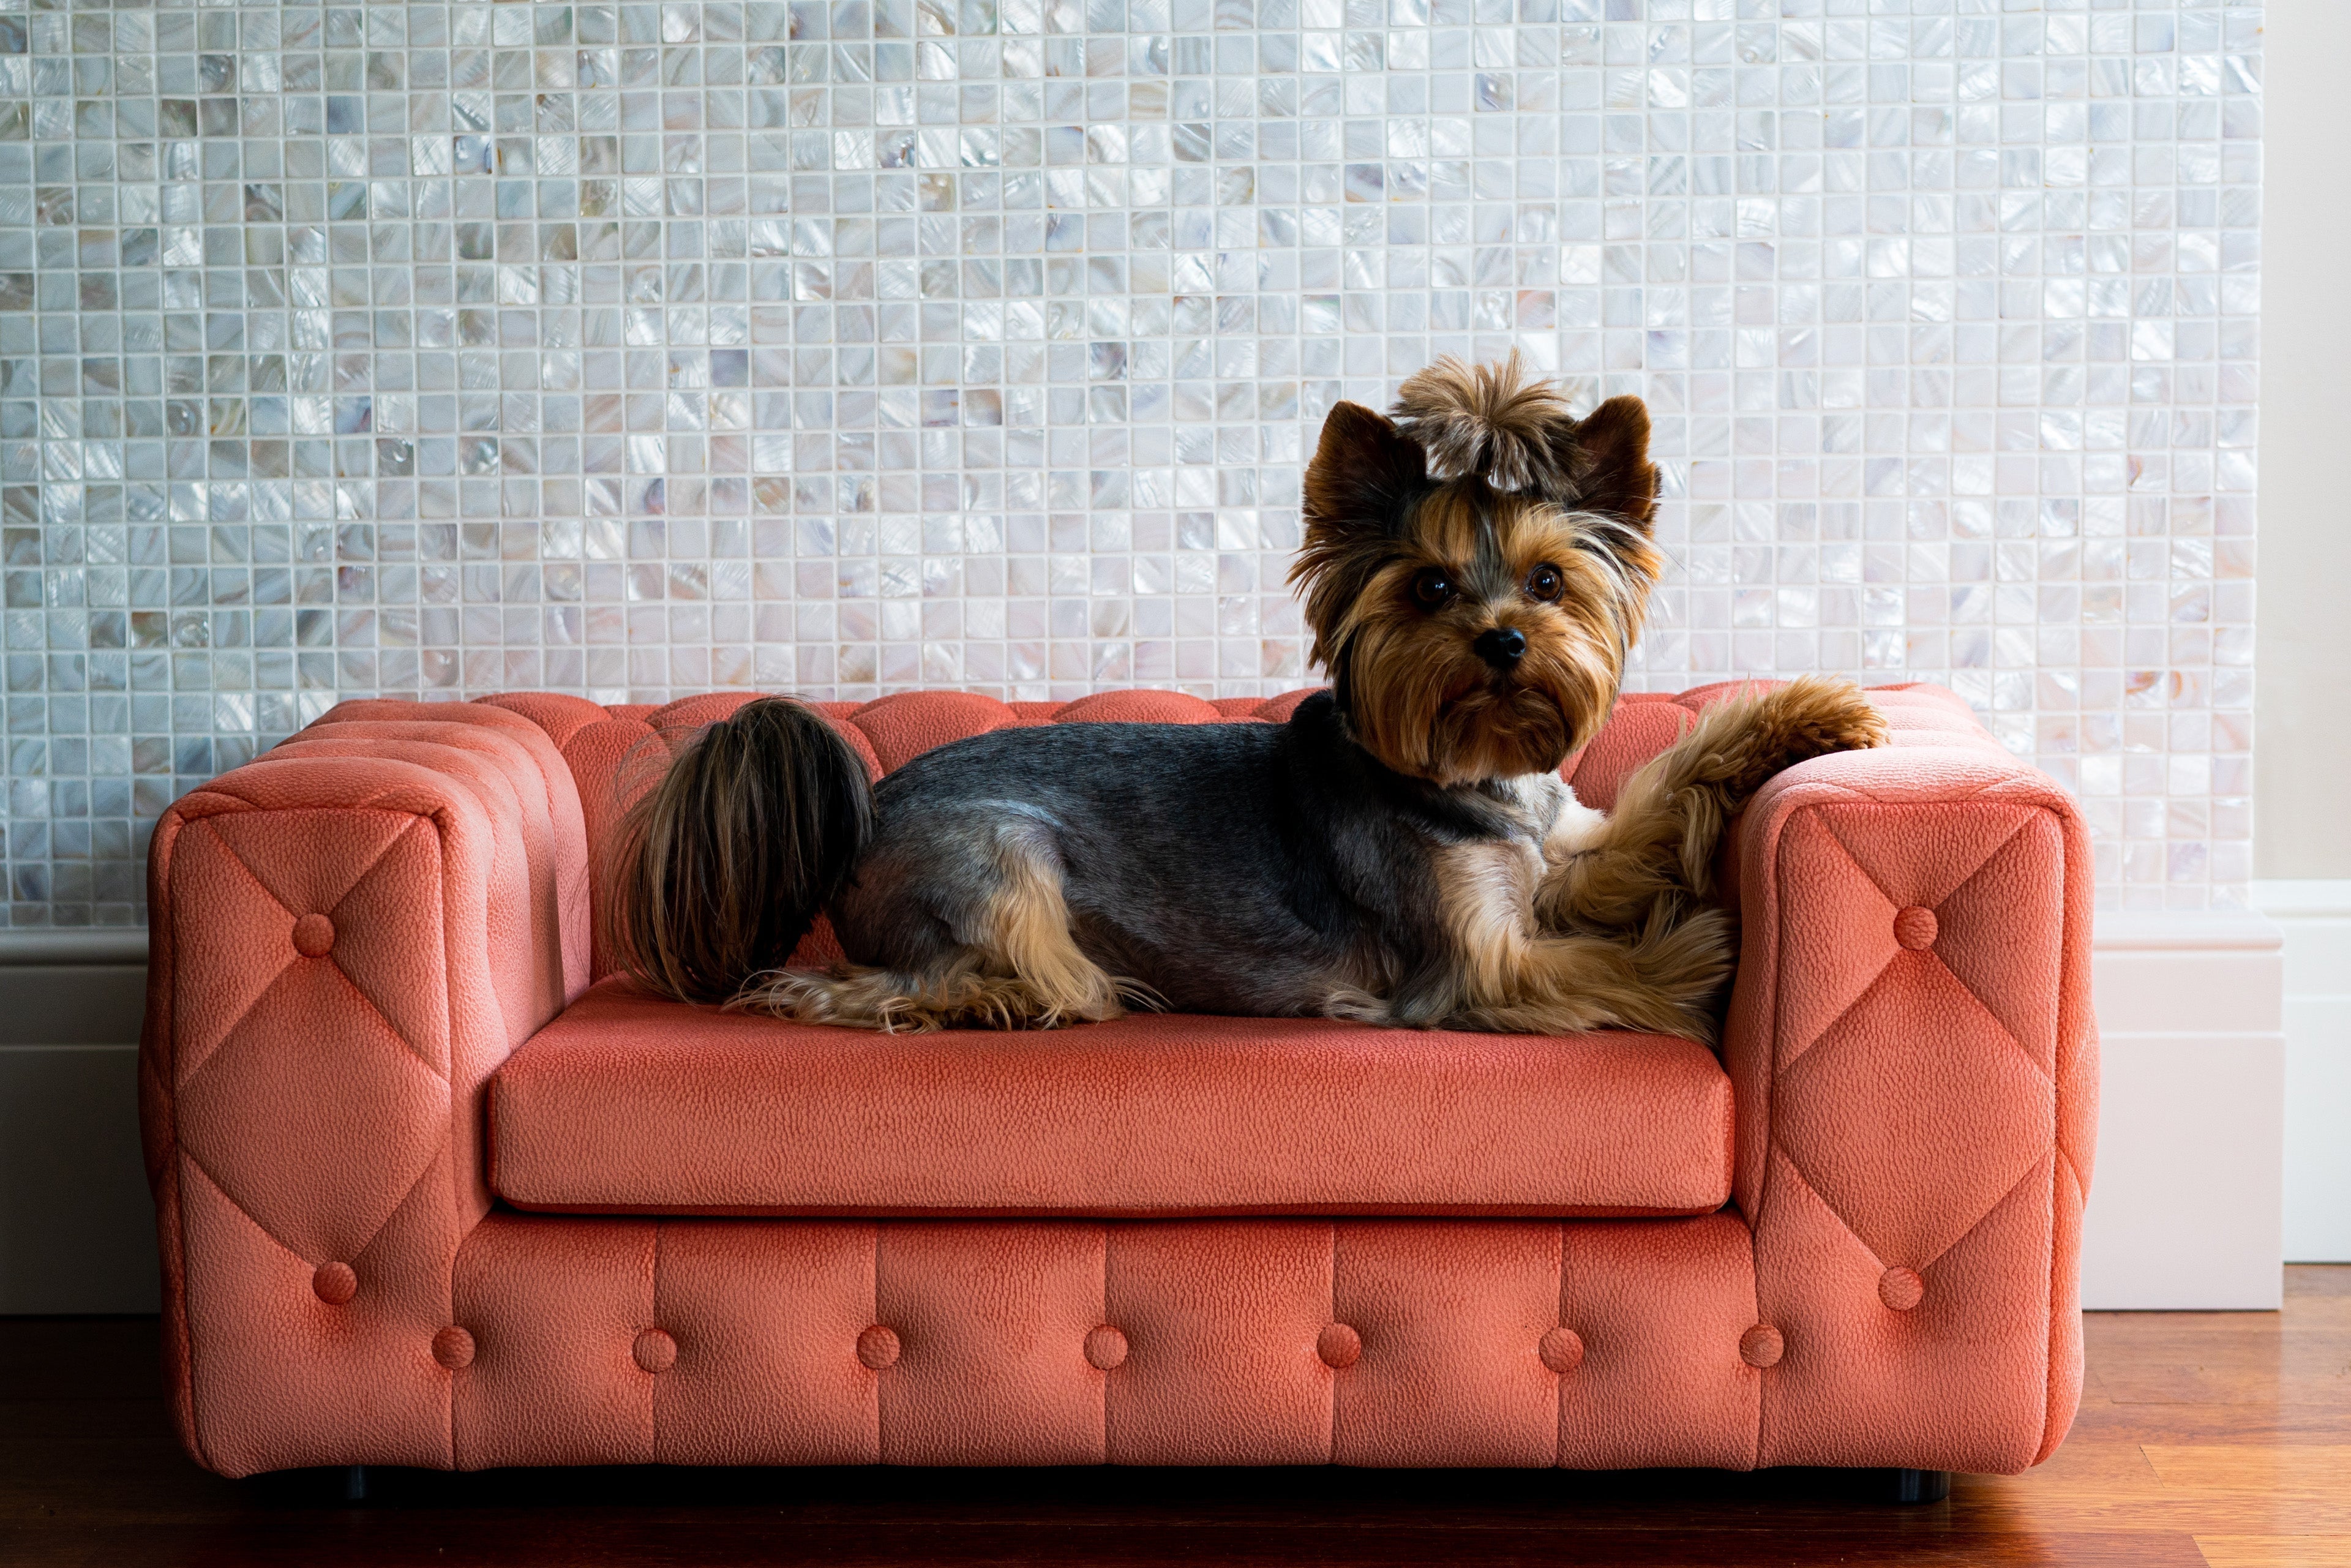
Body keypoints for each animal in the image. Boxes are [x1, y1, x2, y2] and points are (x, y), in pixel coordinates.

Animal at [611, 354, 1890, 1043]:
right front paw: (1703, 965)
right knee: (868, 985)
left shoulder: (1564, 850)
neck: (1472, 771)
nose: (1504, 641)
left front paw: (1813, 716)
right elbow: (1601, 970)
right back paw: (1010, 996)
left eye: (1549, 580)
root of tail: (865, 805)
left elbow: (1667, 791)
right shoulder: (1474, 963)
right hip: (1005, 855)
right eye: (1429, 586)